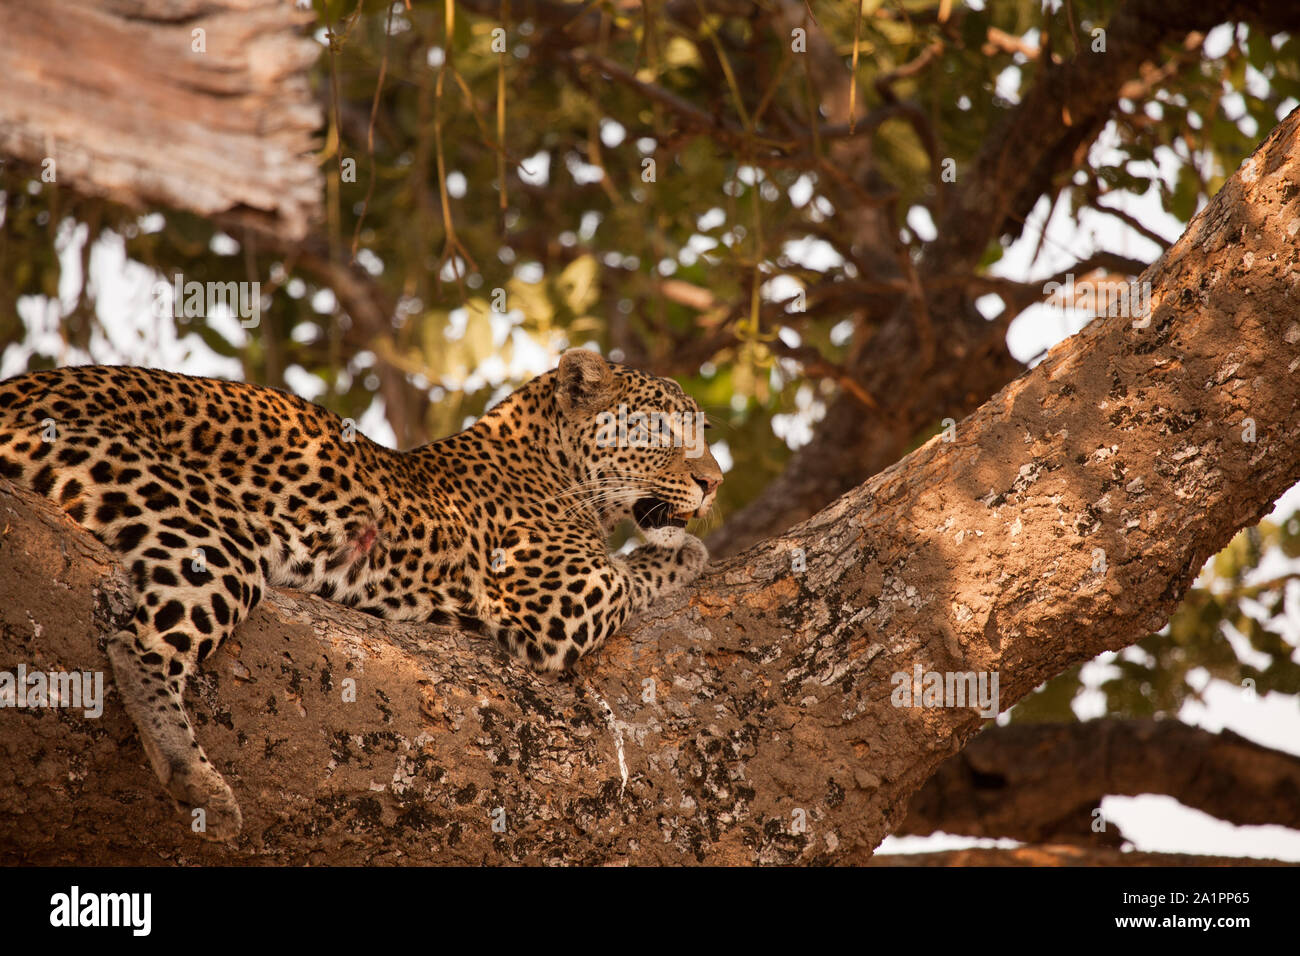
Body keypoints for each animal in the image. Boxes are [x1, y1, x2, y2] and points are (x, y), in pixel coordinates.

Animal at [0, 348, 722, 837]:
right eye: (659, 433)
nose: (715, 482)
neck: (552, 460)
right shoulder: (562, 595)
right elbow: (641, 567)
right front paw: (686, 551)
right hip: (207, 529)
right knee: (138, 642)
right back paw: (196, 782)